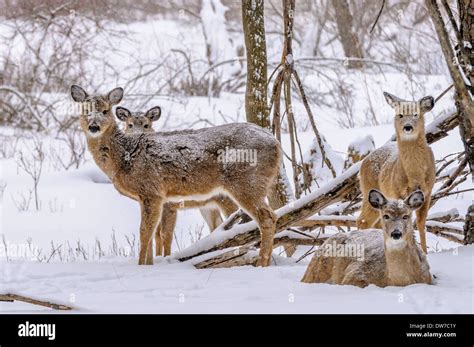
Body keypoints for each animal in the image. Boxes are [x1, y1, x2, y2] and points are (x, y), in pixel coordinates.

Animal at [117, 107, 239, 256]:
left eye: (146, 125)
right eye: (130, 125)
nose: (137, 135)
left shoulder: (169, 205)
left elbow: (165, 235)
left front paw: (165, 257)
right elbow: (156, 235)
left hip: (227, 199)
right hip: (207, 205)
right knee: (217, 225)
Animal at [356, 92, 436, 254]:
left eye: (416, 114)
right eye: (400, 114)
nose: (408, 126)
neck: (415, 175)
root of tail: (363, 163)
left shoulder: (428, 191)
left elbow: (420, 223)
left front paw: (425, 252)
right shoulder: (396, 192)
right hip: (369, 189)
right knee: (362, 221)